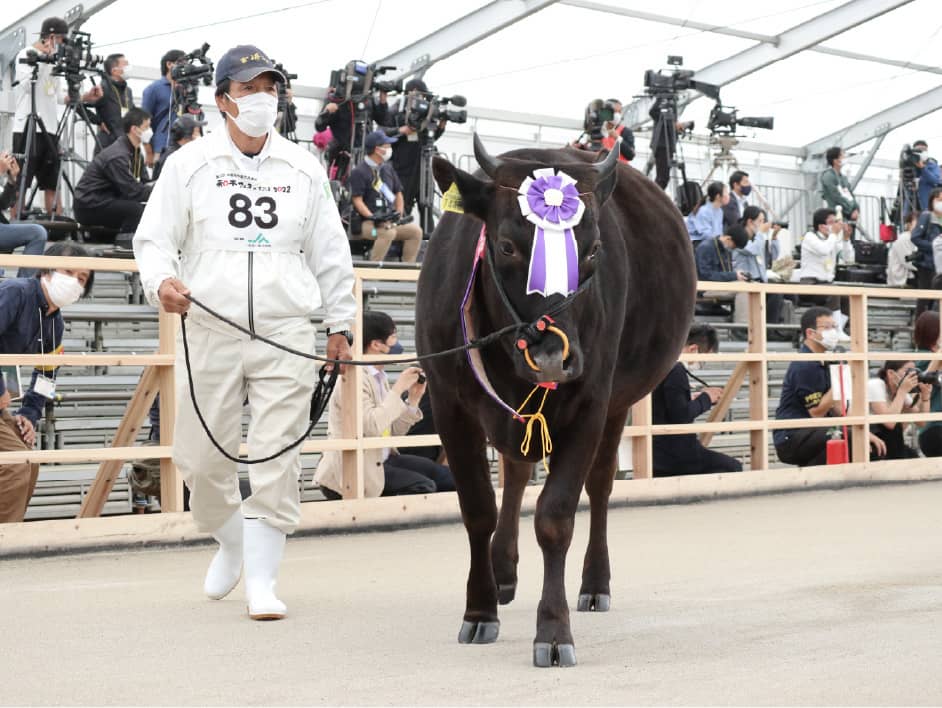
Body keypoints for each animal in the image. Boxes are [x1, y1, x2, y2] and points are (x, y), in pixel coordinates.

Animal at [416, 136, 696, 668]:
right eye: (507, 245)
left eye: (593, 251)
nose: (553, 356)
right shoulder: (448, 403)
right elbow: (478, 509)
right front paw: (479, 609)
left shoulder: (590, 401)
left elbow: (556, 516)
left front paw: (552, 630)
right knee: (516, 471)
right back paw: (503, 572)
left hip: (618, 403)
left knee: (599, 487)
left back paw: (594, 583)